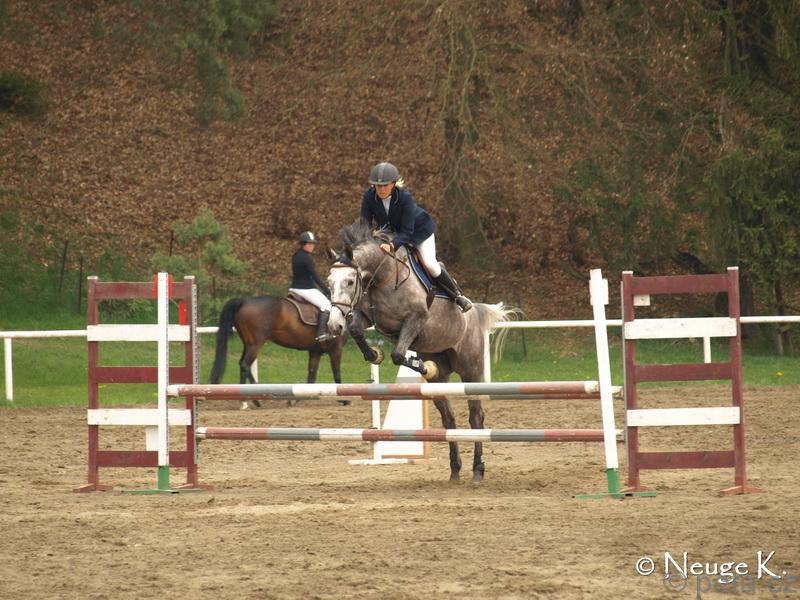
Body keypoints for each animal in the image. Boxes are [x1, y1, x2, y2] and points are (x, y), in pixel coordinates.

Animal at [209, 296, 349, 408]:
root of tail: (244, 301)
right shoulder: (336, 350)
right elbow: (337, 374)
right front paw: (344, 399)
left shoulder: (315, 352)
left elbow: (311, 377)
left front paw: (296, 400)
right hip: (255, 344)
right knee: (245, 365)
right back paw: (257, 399)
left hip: (247, 344)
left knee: (242, 365)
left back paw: (244, 400)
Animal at [326, 219, 514, 484]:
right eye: (329, 283)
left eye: (350, 282)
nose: (334, 325)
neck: (382, 277)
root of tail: (474, 313)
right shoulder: (368, 318)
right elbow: (355, 330)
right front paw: (374, 355)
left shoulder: (415, 319)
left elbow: (398, 354)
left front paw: (418, 364)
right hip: (441, 378)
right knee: (449, 418)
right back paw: (455, 469)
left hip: (470, 370)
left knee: (476, 415)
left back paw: (478, 469)